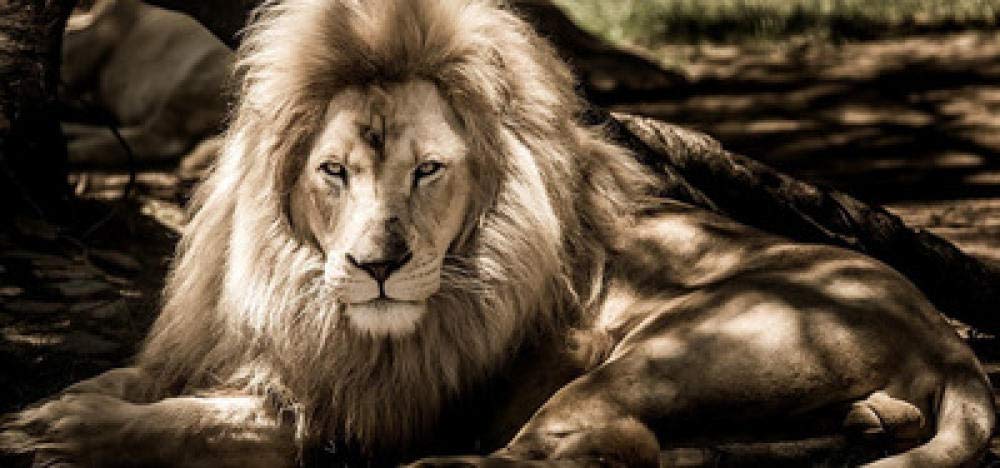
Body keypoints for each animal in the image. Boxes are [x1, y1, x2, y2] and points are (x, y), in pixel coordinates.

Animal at [3, 0, 994, 466]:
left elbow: (205, 426)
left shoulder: (357, 415)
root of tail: (944, 336)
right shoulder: (221, 343)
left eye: (429, 171)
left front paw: (58, 435)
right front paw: (52, 409)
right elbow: (131, 380)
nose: (378, 266)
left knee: (593, 446)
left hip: (669, 349)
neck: (298, 291)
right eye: (335, 173)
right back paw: (863, 421)